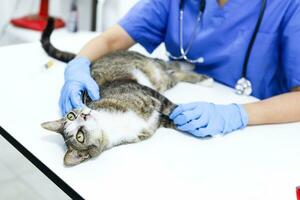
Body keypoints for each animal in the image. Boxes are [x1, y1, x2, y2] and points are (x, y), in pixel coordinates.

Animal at [41, 18, 213, 166]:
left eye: (71, 115)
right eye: (79, 136)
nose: (84, 115)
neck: (109, 123)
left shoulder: (147, 92)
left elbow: (173, 107)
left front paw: (196, 119)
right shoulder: (155, 122)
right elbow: (174, 120)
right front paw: (194, 123)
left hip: (150, 65)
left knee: (169, 65)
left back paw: (192, 67)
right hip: (163, 80)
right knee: (173, 74)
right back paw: (200, 76)